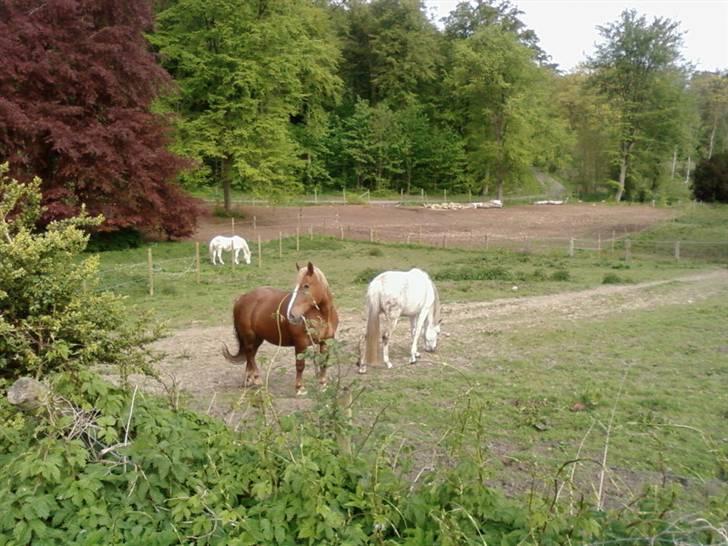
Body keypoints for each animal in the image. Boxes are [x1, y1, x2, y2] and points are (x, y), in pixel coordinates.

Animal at [222, 262, 338, 394]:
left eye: (306, 286)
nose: (291, 315)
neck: (322, 316)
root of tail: (241, 298)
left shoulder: (326, 341)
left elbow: (323, 363)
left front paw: (323, 385)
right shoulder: (301, 343)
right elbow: (300, 365)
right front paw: (299, 388)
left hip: (257, 338)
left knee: (250, 355)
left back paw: (249, 379)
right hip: (249, 337)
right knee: (250, 354)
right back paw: (256, 378)